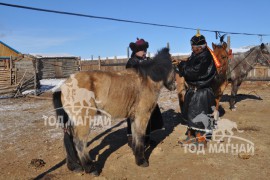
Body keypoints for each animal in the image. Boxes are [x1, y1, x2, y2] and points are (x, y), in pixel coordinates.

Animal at [53, 47, 176, 176]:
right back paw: (90, 168)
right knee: (79, 142)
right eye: (174, 68)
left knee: (70, 139)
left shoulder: (134, 117)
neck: (147, 80)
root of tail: (64, 86)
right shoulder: (142, 116)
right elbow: (140, 137)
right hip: (83, 120)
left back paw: (75, 166)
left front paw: (136, 155)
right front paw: (141, 161)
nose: (174, 86)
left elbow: (135, 135)